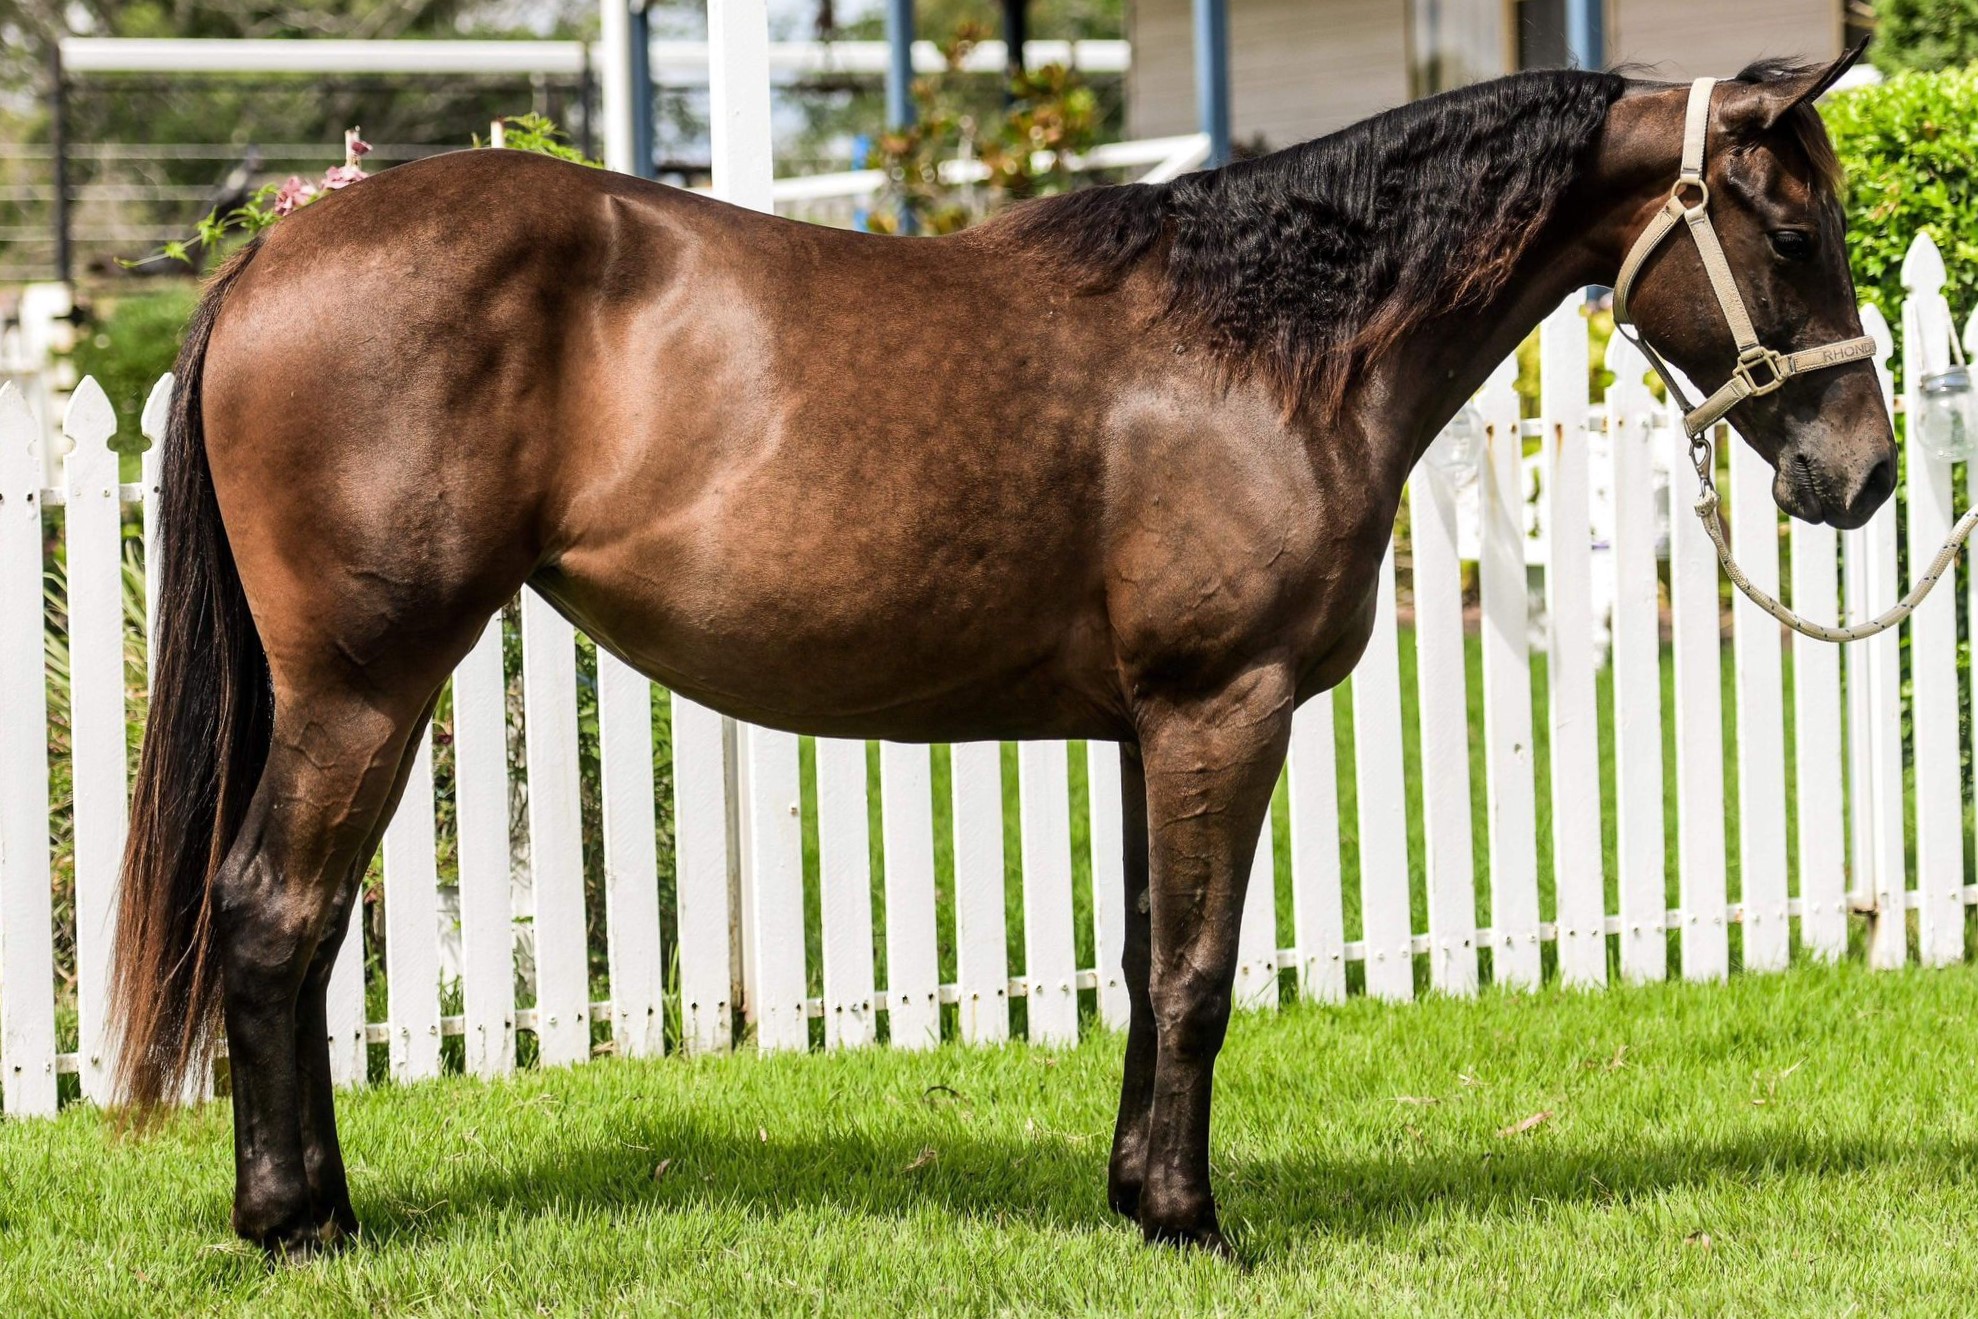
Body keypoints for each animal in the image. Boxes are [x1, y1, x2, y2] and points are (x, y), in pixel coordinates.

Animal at [111, 44, 1893, 1257]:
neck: (1268, 347)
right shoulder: (1220, 712)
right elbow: (1196, 975)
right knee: (272, 919)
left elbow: (1146, 964)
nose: (1860, 474)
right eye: (1794, 229)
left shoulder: (1144, 732)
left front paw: (1132, 1196)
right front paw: (1189, 1218)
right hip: (362, 686)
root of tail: (278, 250)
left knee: (299, 934)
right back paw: (293, 1222)